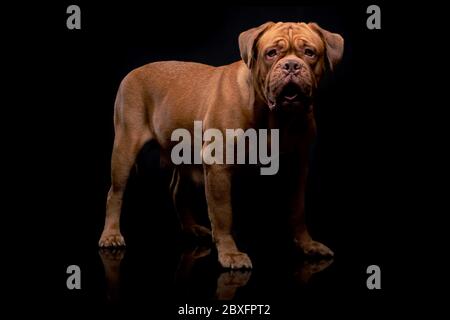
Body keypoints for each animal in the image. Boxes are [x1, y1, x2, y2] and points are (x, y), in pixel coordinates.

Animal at [99, 21, 344, 268]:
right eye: (271, 53)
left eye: (310, 52)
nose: (291, 65)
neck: (274, 117)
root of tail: (133, 72)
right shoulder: (219, 166)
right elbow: (223, 213)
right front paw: (230, 253)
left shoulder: (297, 167)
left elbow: (297, 210)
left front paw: (307, 244)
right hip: (125, 148)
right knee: (115, 193)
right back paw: (111, 235)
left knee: (178, 191)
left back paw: (192, 228)